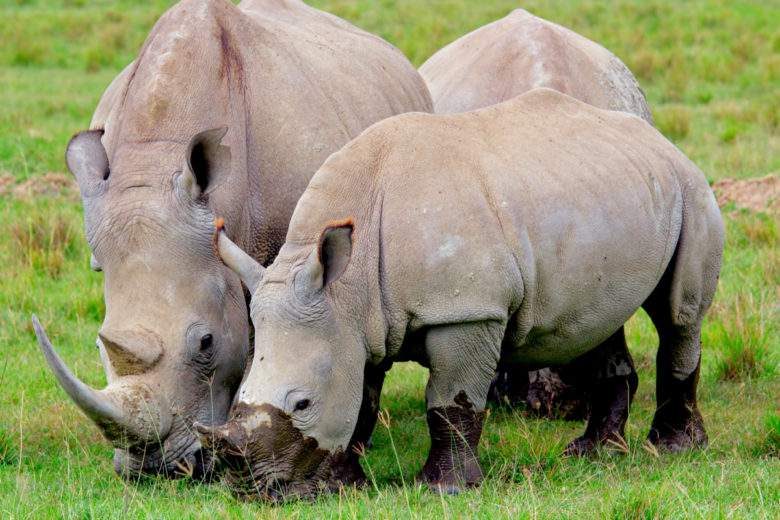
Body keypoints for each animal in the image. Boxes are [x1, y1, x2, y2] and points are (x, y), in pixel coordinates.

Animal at [198, 89, 724, 500]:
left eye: (304, 404)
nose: (247, 488)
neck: (347, 289)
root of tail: (658, 138)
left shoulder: (468, 311)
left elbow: (450, 400)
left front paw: (444, 488)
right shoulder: (356, 324)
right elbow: (362, 399)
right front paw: (342, 485)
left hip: (691, 189)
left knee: (678, 315)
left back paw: (673, 448)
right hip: (614, 197)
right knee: (597, 320)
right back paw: (593, 452)